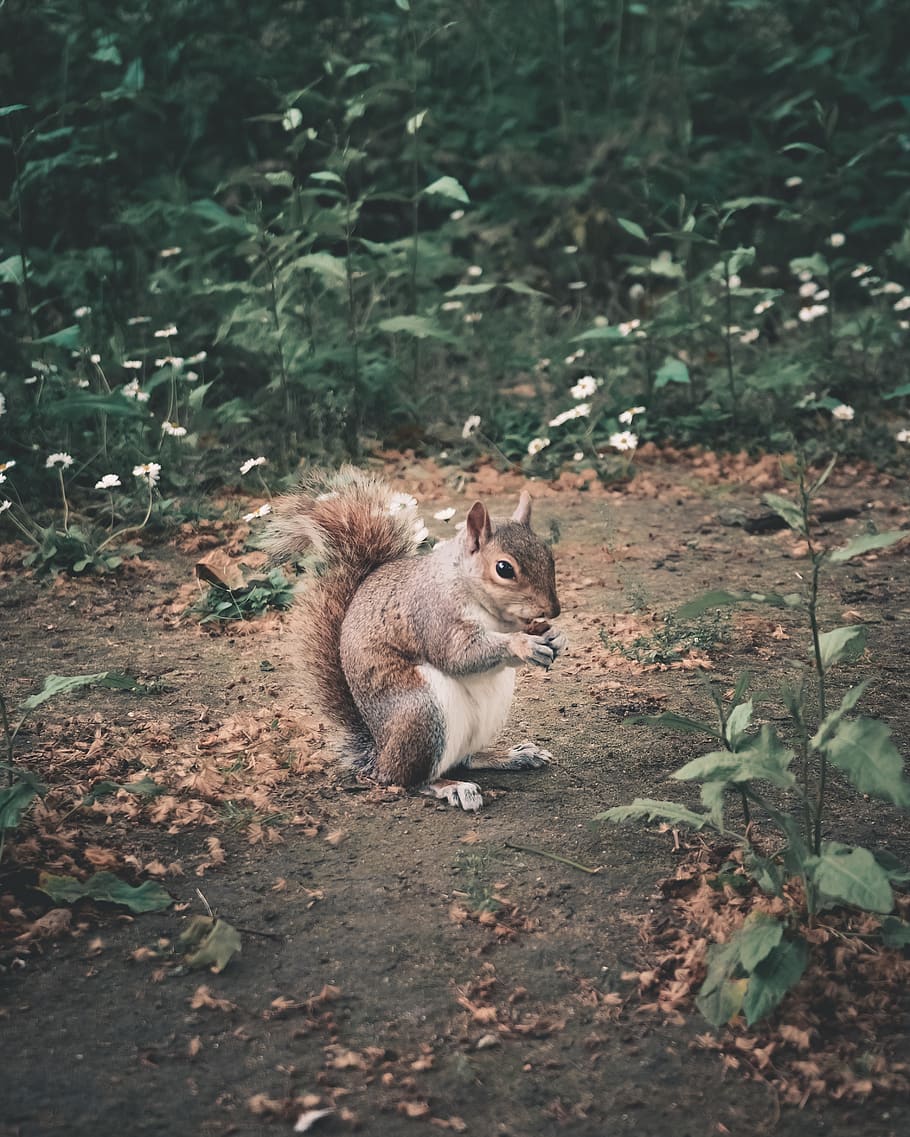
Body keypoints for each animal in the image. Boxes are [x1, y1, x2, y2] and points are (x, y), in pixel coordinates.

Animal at [266, 466, 566, 811]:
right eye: (504, 568)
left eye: (549, 556)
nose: (554, 610)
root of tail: (380, 755)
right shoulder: (433, 614)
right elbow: (458, 655)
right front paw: (522, 643)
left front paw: (556, 636)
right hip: (423, 714)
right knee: (410, 779)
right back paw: (451, 787)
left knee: (465, 759)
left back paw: (511, 756)